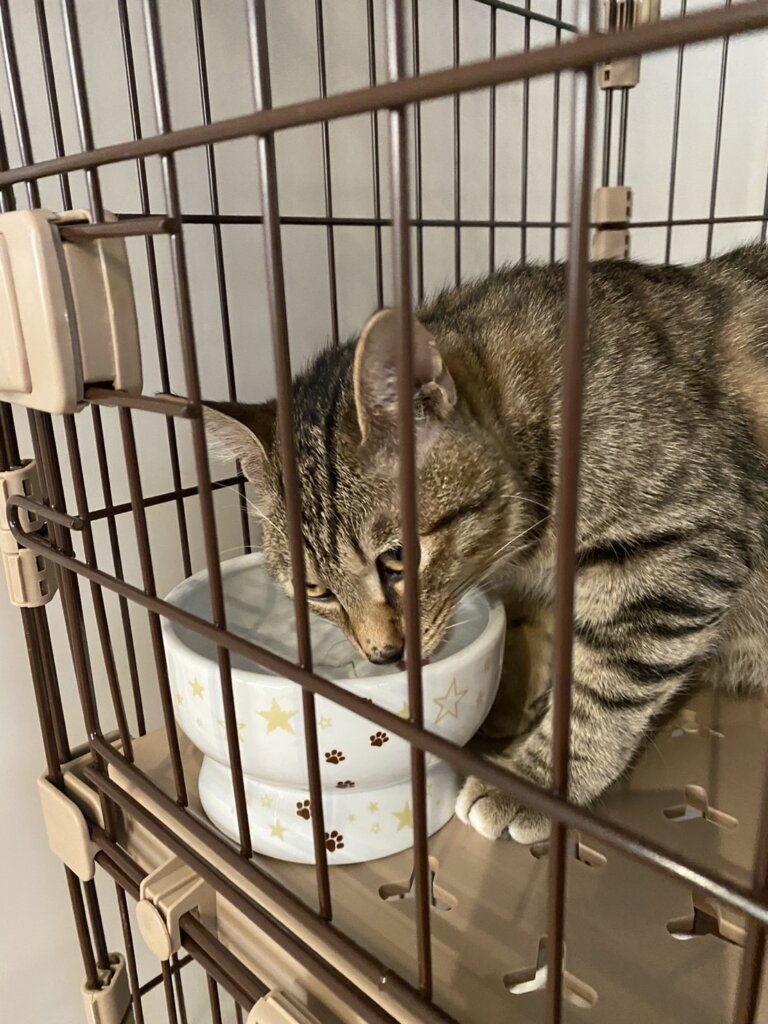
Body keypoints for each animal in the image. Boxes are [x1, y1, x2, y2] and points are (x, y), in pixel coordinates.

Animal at [203, 243, 768, 844]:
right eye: (316, 591)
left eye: (398, 558)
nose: (385, 654)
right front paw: (516, 695)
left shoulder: (686, 546)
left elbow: (605, 689)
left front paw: (533, 782)